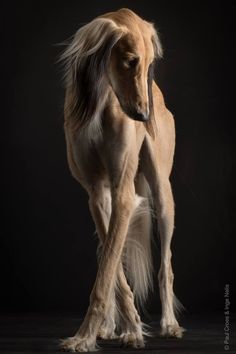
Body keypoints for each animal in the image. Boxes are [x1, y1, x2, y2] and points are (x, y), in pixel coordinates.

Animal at [59, 7, 184, 352]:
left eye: (150, 63)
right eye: (130, 61)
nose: (144, 117)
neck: (103, 100)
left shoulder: (124, 194)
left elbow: (109, 271)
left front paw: (85, 337)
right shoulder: (97, 193)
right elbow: (111, 268)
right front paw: (125, 326)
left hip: (162, 195)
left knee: (165, 265)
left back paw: (169, 323)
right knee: (111, 255)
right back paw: (112, 326)